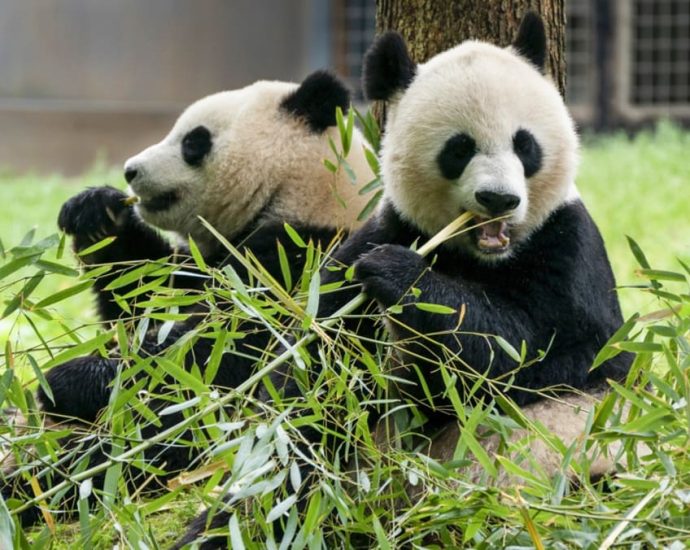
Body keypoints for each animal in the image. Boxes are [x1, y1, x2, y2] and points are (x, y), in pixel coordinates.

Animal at [1, 71, 376, 528]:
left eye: (193, 141)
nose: (130, 170)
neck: (303, 193)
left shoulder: (302, 261)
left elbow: (216, 356)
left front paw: (67, 380)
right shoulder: (204, 262)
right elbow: (144, 298)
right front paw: (96, 212)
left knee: (143, 449)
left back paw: (35, 486)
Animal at [175, 10, 632, 548]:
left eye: (525, 145)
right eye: (459, 149)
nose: (499, 199)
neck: (479, 257)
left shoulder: (568, 251)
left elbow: (528, 353)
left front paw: (400, 276)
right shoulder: (379, 234)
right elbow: (317, 377)